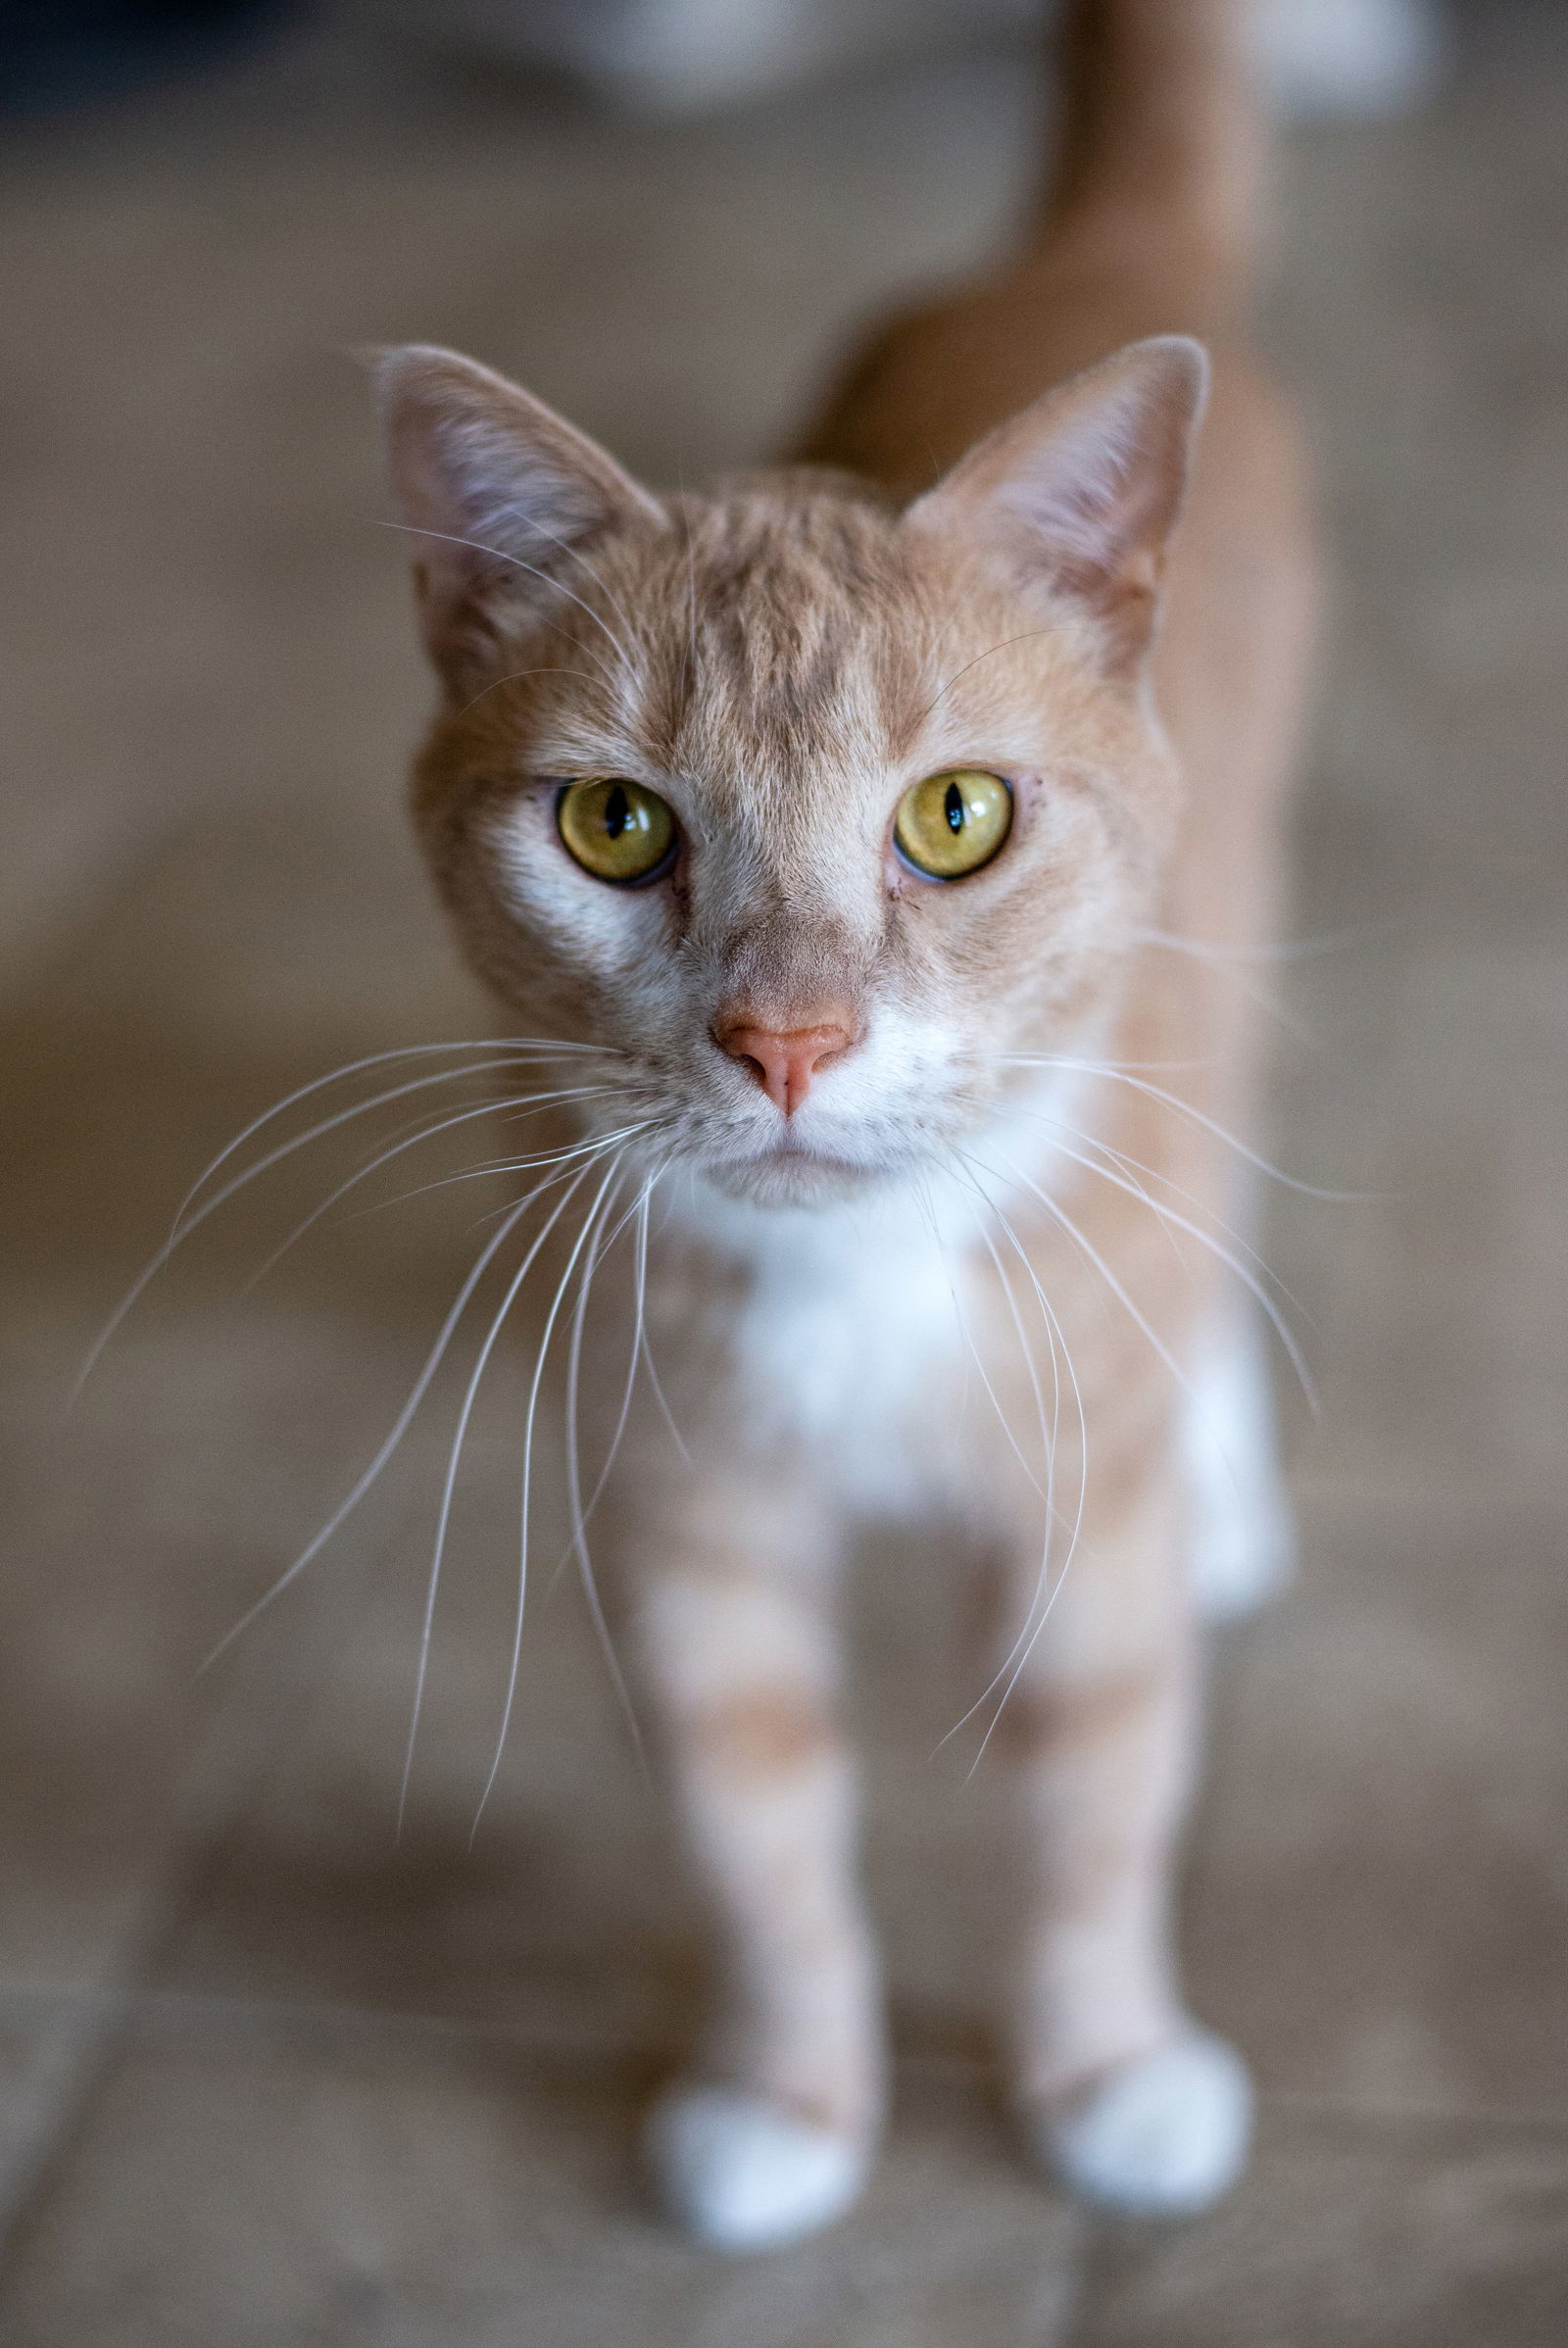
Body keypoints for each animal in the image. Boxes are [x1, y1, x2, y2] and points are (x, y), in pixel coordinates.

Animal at [372, 0, 1314, 2254]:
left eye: (952, 818)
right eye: (614, 825)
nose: (787, 1037)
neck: (857, 1277)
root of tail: (1067, 264)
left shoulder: (1077, 1519)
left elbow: (1091, 1802)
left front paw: (1105, 2068)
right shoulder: (676, 1513)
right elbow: (757, 1828)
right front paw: (785, 2095)